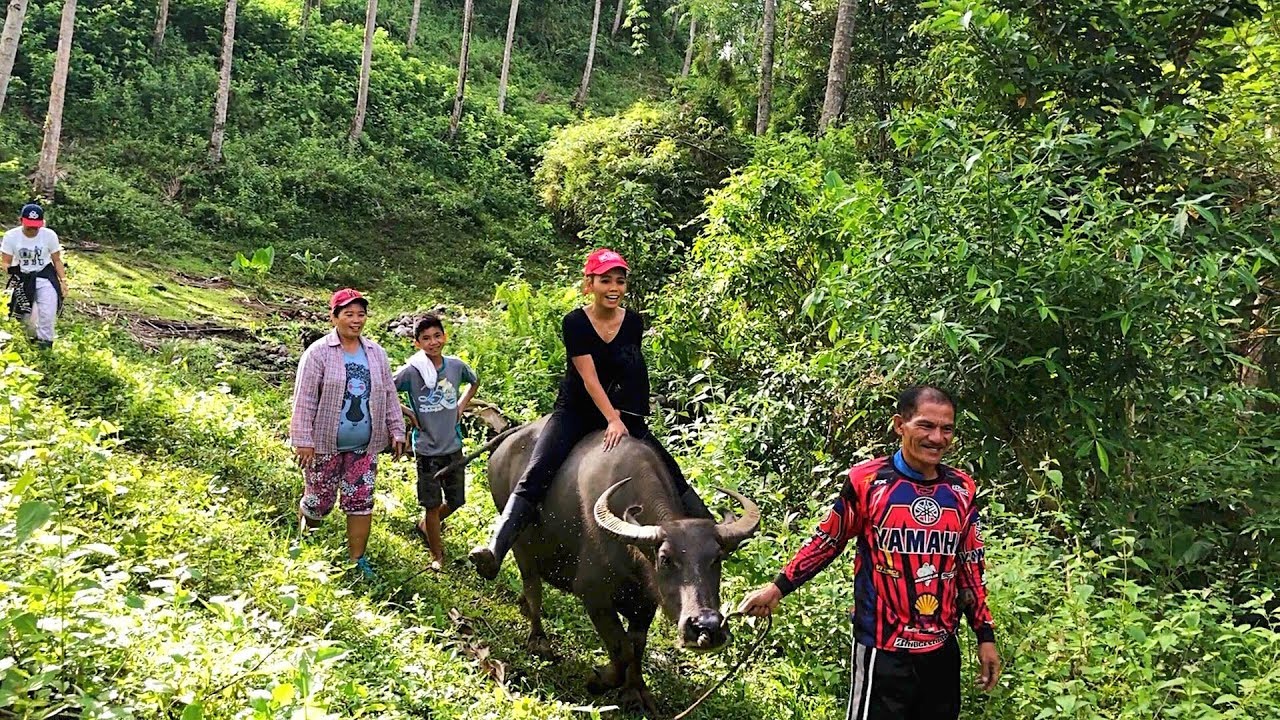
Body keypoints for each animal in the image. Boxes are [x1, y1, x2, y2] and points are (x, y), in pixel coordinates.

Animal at [483, 415, 752, 712]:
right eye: (665, 559)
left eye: (716, 558)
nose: (707, 626)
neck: (631, 550)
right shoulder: (593, 595)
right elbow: (621, 649)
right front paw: (599, 681)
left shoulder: (646, 601)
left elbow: (636, 646)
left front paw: (636, 691)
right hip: (521, 545)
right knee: (532, 586)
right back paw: (537, 638)